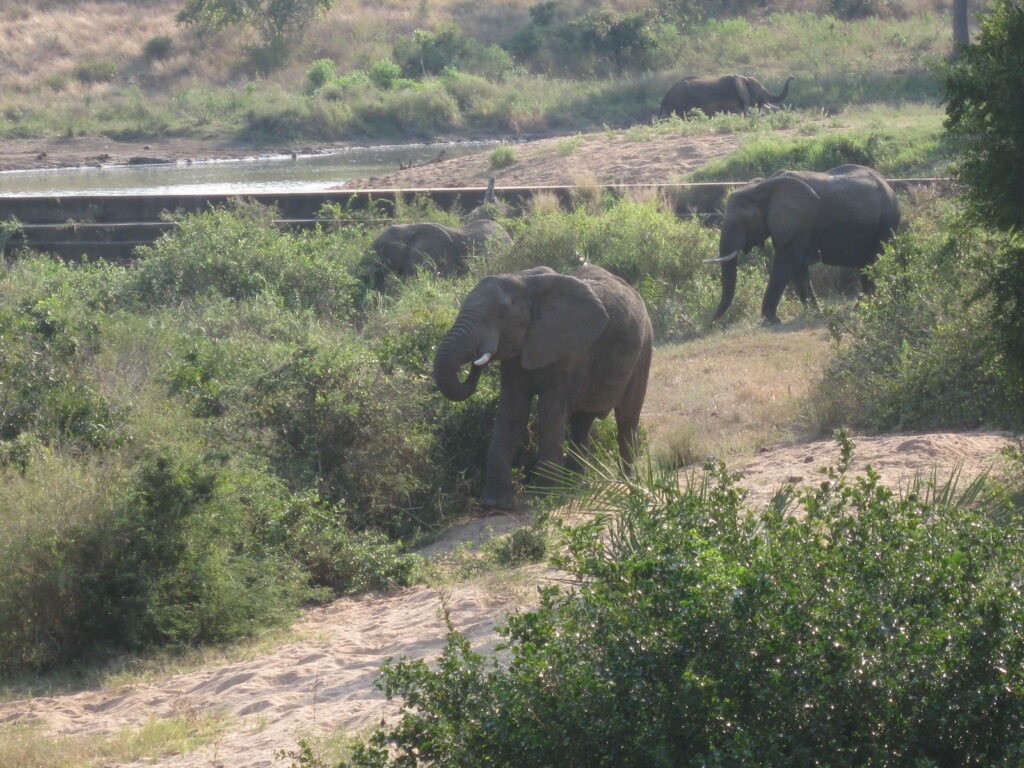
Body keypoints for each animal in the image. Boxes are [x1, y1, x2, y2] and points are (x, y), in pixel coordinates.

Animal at [430, 264, 651, 512]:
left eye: (502, 315)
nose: (475, 364)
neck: (524, 282)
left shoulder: (567, 349)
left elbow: (550, 411)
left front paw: (548, 497)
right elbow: (512, 412)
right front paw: (496, 505)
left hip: (644, 347)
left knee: (627, 416)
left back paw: (627, 482)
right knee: (581, 422)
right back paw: (577, 485)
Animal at [659, 74, 794, 118]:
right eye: (759, 92)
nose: (792, 77)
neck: (742, 78)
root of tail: (666, 95)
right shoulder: (730, 98)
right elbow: (738, 112)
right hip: (678, 103)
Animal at [708, 164, 901, 325]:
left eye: (746, 220)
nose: (711, 322)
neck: (763, 187)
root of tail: (888, 185)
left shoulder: (799, 221)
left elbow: (786, 264)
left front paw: (771, 321)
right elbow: (799, 268)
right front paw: (816, 313)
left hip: (886, 224)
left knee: (874, 261)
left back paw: (863, 308)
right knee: (866, 265)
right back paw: (862, 308)